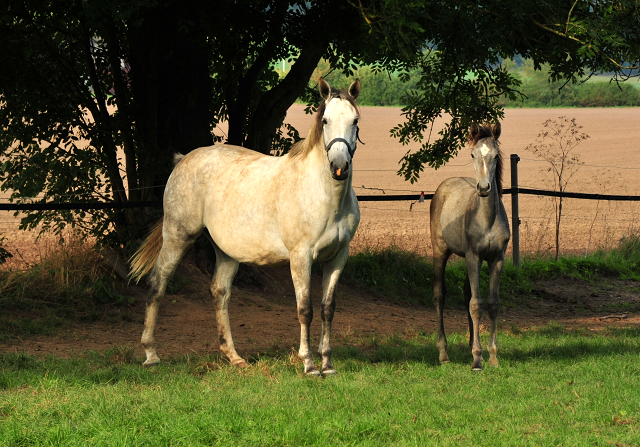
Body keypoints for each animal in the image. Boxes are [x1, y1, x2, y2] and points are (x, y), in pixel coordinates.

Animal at [129, 78, 364, 374]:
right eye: (325, 120)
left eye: (355, 120)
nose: (339, 166)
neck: (324, 195)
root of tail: (183, 159)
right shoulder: (301, 257)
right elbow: (305, 309)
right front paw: (309, 364)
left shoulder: (337, 257)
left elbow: (327, 308)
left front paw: (328, 364)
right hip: (177, 236)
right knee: (157, 284)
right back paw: (151, 355)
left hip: (226, 252)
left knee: (220, 293)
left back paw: (233, 356)